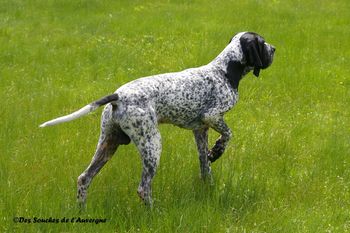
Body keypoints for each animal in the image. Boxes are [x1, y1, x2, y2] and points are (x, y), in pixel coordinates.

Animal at [40, 31, 276, 207]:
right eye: (263, 42)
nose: (274, 49)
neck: (225, 70)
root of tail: (119, 95)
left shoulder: (200, 130)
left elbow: (204, 165)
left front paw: (209, 183)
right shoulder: (213, 116)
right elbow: (228, 134)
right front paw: (217, 151)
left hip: (108, 144)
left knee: (84, 178)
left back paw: (81, 211)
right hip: (152, 145)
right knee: (143, 189)